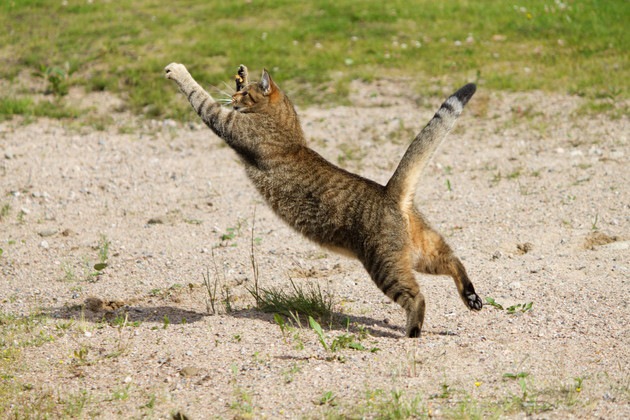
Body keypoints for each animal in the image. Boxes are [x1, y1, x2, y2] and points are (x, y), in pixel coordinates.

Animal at [164, 63, 484, 338]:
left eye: (244, 96)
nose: (233, 96)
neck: (286, 124)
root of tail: (390, 193)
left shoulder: (227, 123)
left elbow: (200, 98)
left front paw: (178, 71)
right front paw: (241, 72)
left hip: (386, 266)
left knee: (417, 297)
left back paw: (413, 331)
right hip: (422, 252)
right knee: (453, 259)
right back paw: (471, 297)